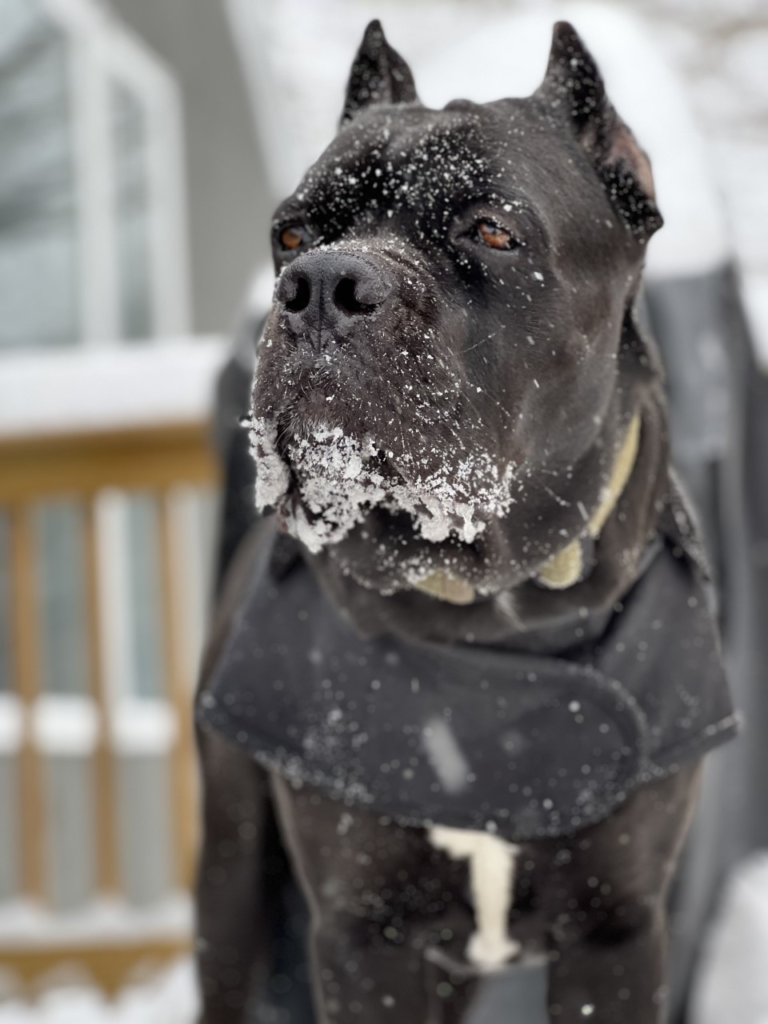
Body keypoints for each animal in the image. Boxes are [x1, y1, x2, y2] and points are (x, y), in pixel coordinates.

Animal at [195, 22, 737, 1024]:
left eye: (491, 230)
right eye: (291, 233)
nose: (321, 283)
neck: (490, 614)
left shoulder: (621, 932)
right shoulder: (360, 932)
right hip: (233, 872)